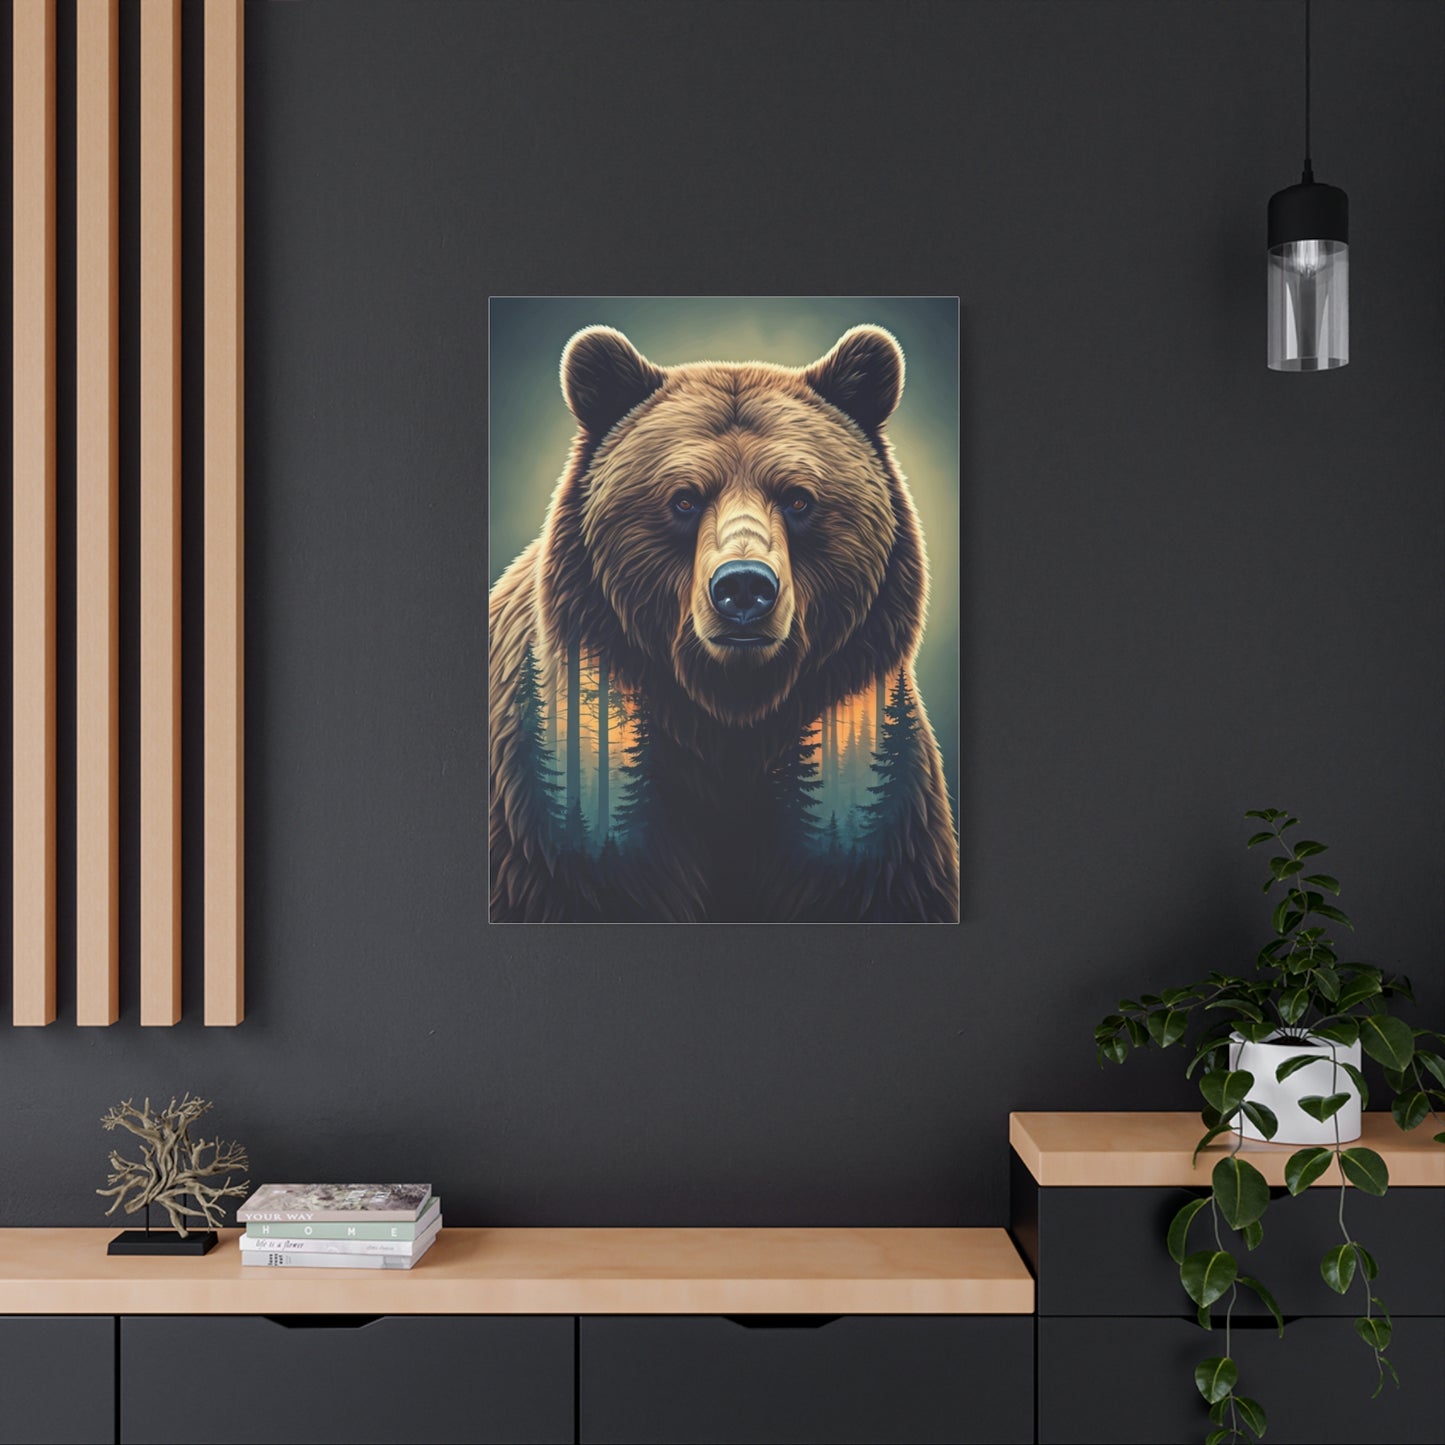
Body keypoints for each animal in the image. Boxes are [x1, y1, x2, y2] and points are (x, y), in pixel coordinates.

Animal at [489, 324, 959, 922]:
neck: (726, 727)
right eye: (684, 499)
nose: (743, 587)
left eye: (798, 498)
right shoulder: (557, 817)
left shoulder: (874, 814)